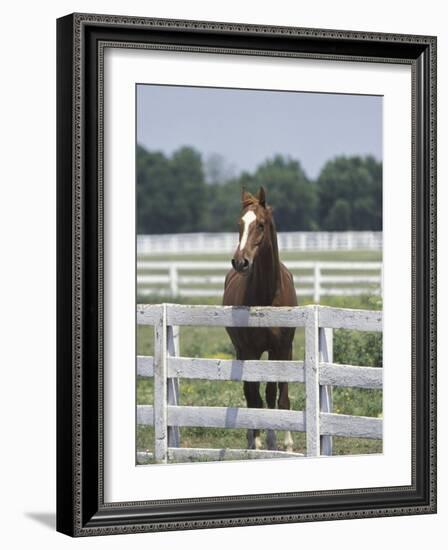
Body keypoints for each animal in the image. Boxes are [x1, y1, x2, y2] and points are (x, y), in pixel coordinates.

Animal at [221, 188, 298, 454]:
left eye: (261, 224)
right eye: (239, 224)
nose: (240, 261)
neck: (268, 295)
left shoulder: (283, 348)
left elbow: (280, 396)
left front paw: (287, 444)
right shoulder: (250, 350)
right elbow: (254, 396)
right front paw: (255, 441)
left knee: (270, 393)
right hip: (241, 351)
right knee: (251, 393)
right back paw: (252, 438)